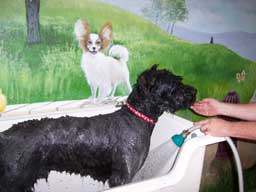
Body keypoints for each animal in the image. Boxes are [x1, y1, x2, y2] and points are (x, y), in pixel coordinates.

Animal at [0, 65, 196, 191]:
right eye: (175, 84)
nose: (194, 92)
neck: (135, 118)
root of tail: (5, 136)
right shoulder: (122, 178)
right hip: (14, 180)